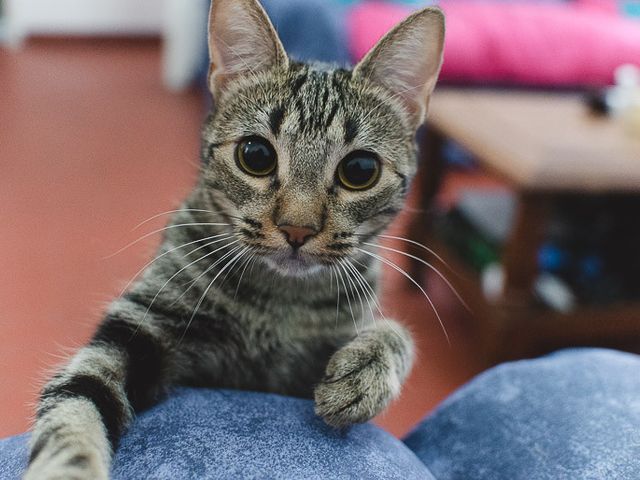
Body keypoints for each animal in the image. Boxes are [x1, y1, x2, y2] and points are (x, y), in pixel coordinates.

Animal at [25, 1, 444, 478]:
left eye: (360, 170)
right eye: (255, 155)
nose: (297, 228)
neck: (276, 305)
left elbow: (397, 333)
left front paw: (367, 368)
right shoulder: (139, 324)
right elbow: (76, 404)